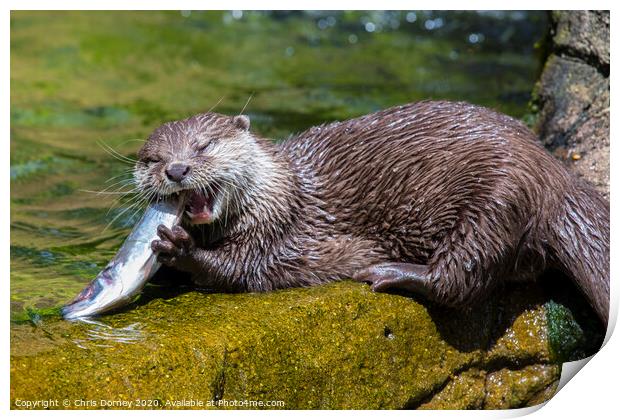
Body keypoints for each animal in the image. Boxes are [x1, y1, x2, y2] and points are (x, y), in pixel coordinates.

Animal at [136, 101, 612, 324]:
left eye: (204, 146)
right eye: (151, 160)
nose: (176, 169)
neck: (283, 193)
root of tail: (555, 174)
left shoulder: (281, 233)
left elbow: (242, 269)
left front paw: (180, 250)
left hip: (497, 198)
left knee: (462, 277)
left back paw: (390, 272)